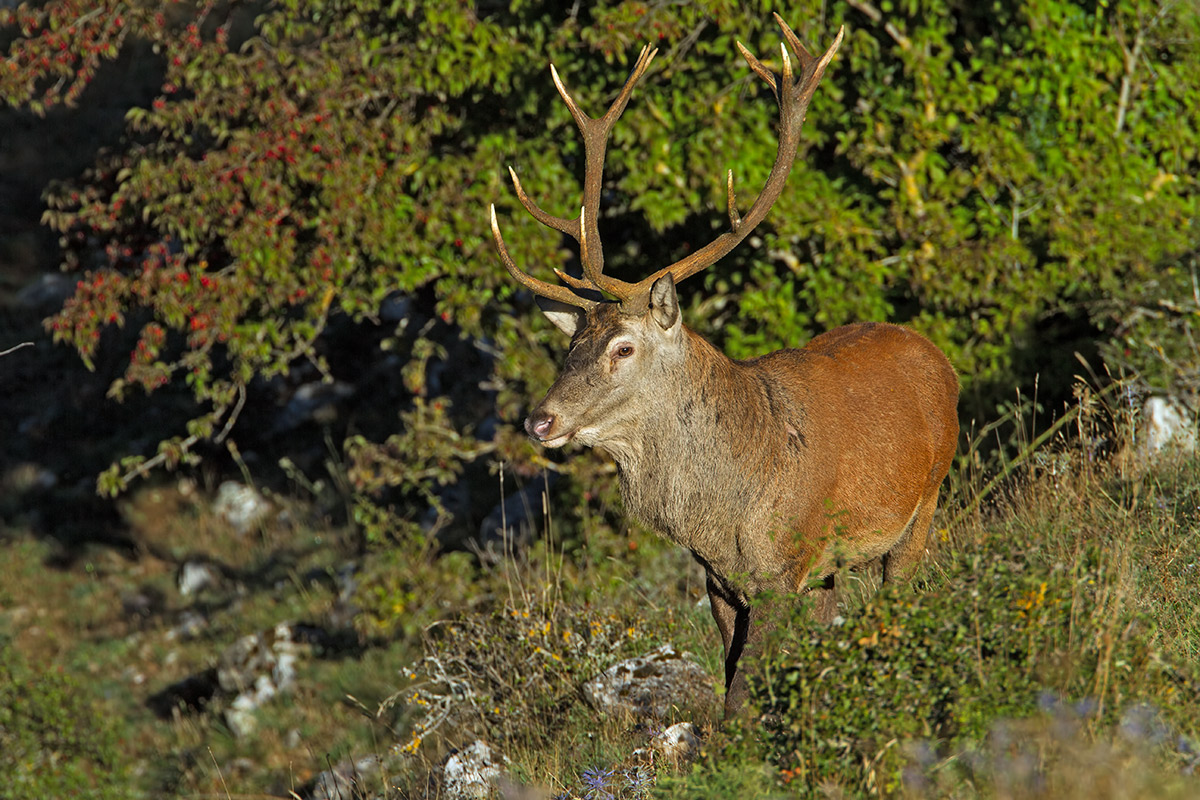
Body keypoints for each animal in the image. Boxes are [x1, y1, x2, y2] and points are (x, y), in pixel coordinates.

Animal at [489, 14, 960, 718]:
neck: (725, 517)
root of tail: (938, 359)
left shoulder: (782, 571)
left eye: (623, 347)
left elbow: (739, 699)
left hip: (922, 505)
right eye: (570, 346)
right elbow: (732, 677)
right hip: (834, 565)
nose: (539, 421)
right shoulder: (720, 583)